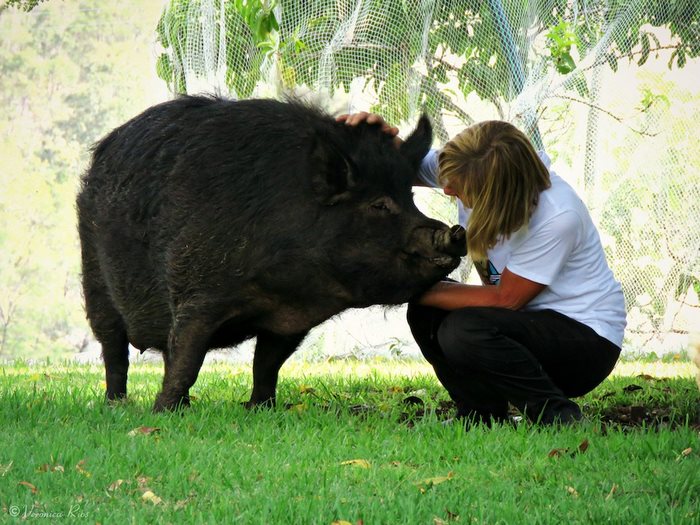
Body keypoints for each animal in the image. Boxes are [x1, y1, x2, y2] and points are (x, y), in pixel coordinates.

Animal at [77, 96, 466, 412]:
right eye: (379, 204)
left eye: (409, 197)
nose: (454, 232)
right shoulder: (198, 294)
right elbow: (187, 358)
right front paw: (163, 412)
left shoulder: (289, 321)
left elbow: (266, 364)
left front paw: (260, 408)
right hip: (95, 281)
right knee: (114, 350)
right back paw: (118, 405)